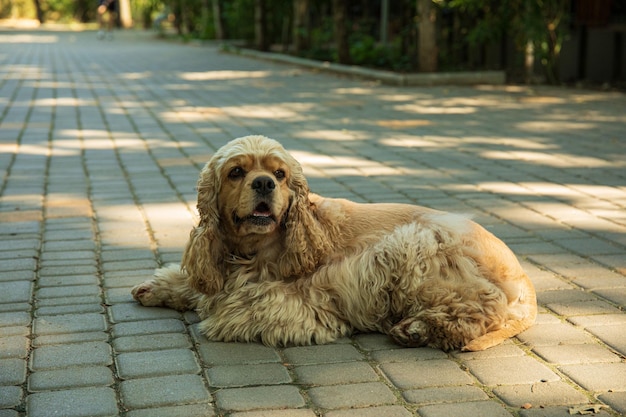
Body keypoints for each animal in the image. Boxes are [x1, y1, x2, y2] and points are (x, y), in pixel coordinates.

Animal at [130, 135, 532, 350]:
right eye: (236, 172)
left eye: (280, 174)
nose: (264, 183)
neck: (253, 250)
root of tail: (522, 276)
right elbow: (198, 281)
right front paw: (157, 287)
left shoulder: (314, 296)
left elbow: (245, 301)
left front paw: (220, 312)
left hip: (410, 246)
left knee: (482, 309)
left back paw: (417, 329)